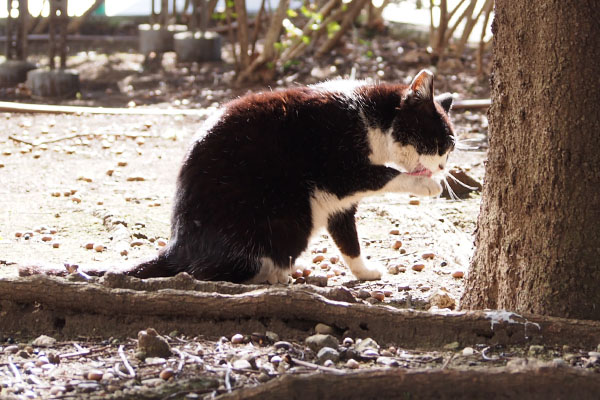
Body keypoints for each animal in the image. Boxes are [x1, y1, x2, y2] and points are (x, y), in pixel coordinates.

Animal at [126, 70, 454, 286]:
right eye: (442, 143)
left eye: (450, 149)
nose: (442, 167)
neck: (368, 119)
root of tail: (177, 244)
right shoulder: (339, 171)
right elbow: (387, 174)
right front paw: (427, 185)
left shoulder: (338, 202)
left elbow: (348, 239)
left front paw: (364, 271)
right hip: (287, 216)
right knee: (207, 272)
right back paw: (273, 275)